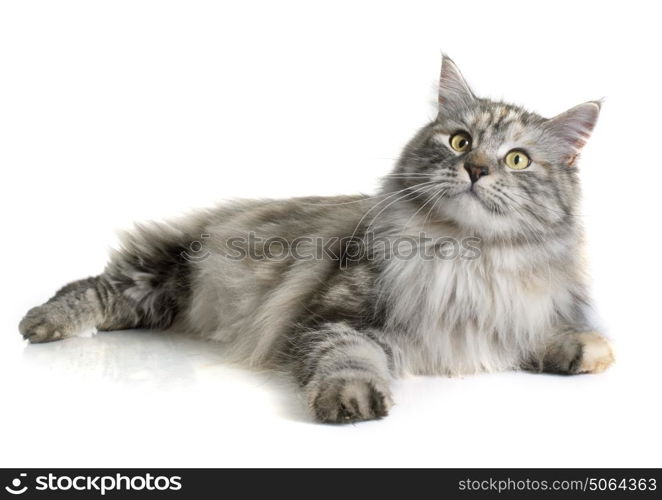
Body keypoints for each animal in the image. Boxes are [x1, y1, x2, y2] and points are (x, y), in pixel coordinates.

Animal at [16, 55, 616, 422]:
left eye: (517, 159)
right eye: (459, 141)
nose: (475, 169)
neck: (465, 256)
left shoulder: (505, 318)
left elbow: (542, 336)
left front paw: (584, 350)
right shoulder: (336, 319)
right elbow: (346, 358)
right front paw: (352, 398)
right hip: (163, 274)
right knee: (93, 287)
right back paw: (40, 323)